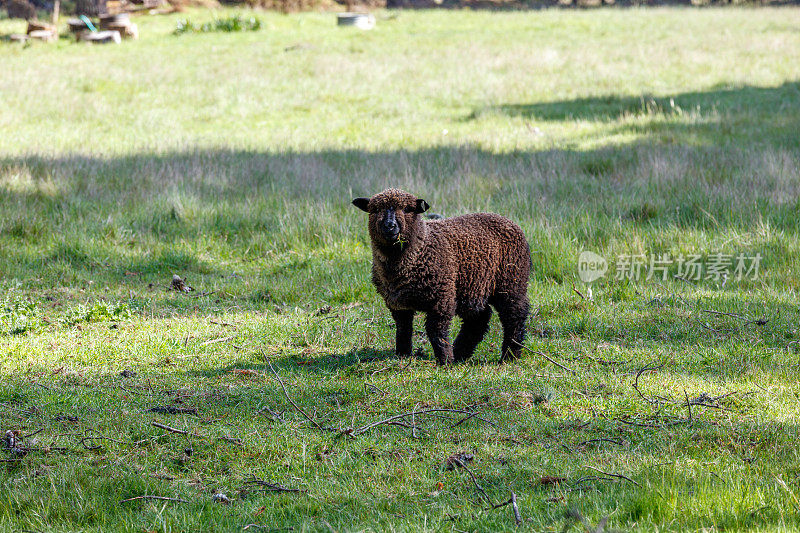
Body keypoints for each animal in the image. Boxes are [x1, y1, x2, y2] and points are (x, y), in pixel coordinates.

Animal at [352, 188, 532, 366]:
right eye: (375, 210)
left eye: (408, 209)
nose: (389, 226)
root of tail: (508, 221)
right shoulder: (398, 304)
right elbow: (403, 329)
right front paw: (402, 355)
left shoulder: (441, 297)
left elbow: (436, 330)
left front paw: (444, 361)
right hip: (471, 286)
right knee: (479, 319)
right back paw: (460, 354)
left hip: (511, 282)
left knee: (515, 315)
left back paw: (510, 355)